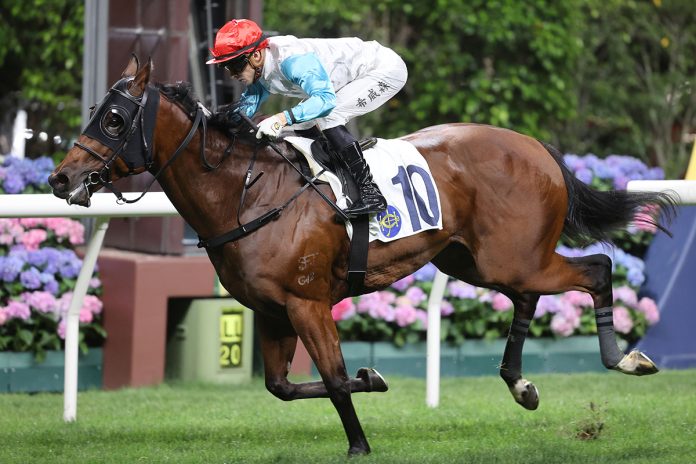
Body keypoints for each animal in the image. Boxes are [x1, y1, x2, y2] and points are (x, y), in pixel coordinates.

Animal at [49, 56, 676, 454]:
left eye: (113, 118)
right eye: (95, 110)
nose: (60, 178)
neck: (246, 191)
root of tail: (535, 145)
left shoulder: (306, 303)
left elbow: (331, 377)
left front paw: (358, 442)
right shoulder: (272, 310)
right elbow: (284, 386)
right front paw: (372, 379)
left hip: (512, 257)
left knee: (596, 268)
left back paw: (624, 358)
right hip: (476, 261)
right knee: (528, 296)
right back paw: (520, 384)